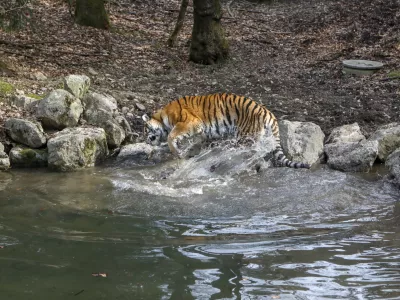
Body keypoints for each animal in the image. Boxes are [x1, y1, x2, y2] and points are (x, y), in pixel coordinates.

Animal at [142, 93, 310, 169]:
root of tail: (268, 113)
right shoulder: (200, 131)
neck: (162, 116)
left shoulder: (189, 122)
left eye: (145, 130)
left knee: (250, 153)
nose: (146, 140)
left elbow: (171, 137)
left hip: (244, 136)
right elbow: (195, 143)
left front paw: (177, 152)